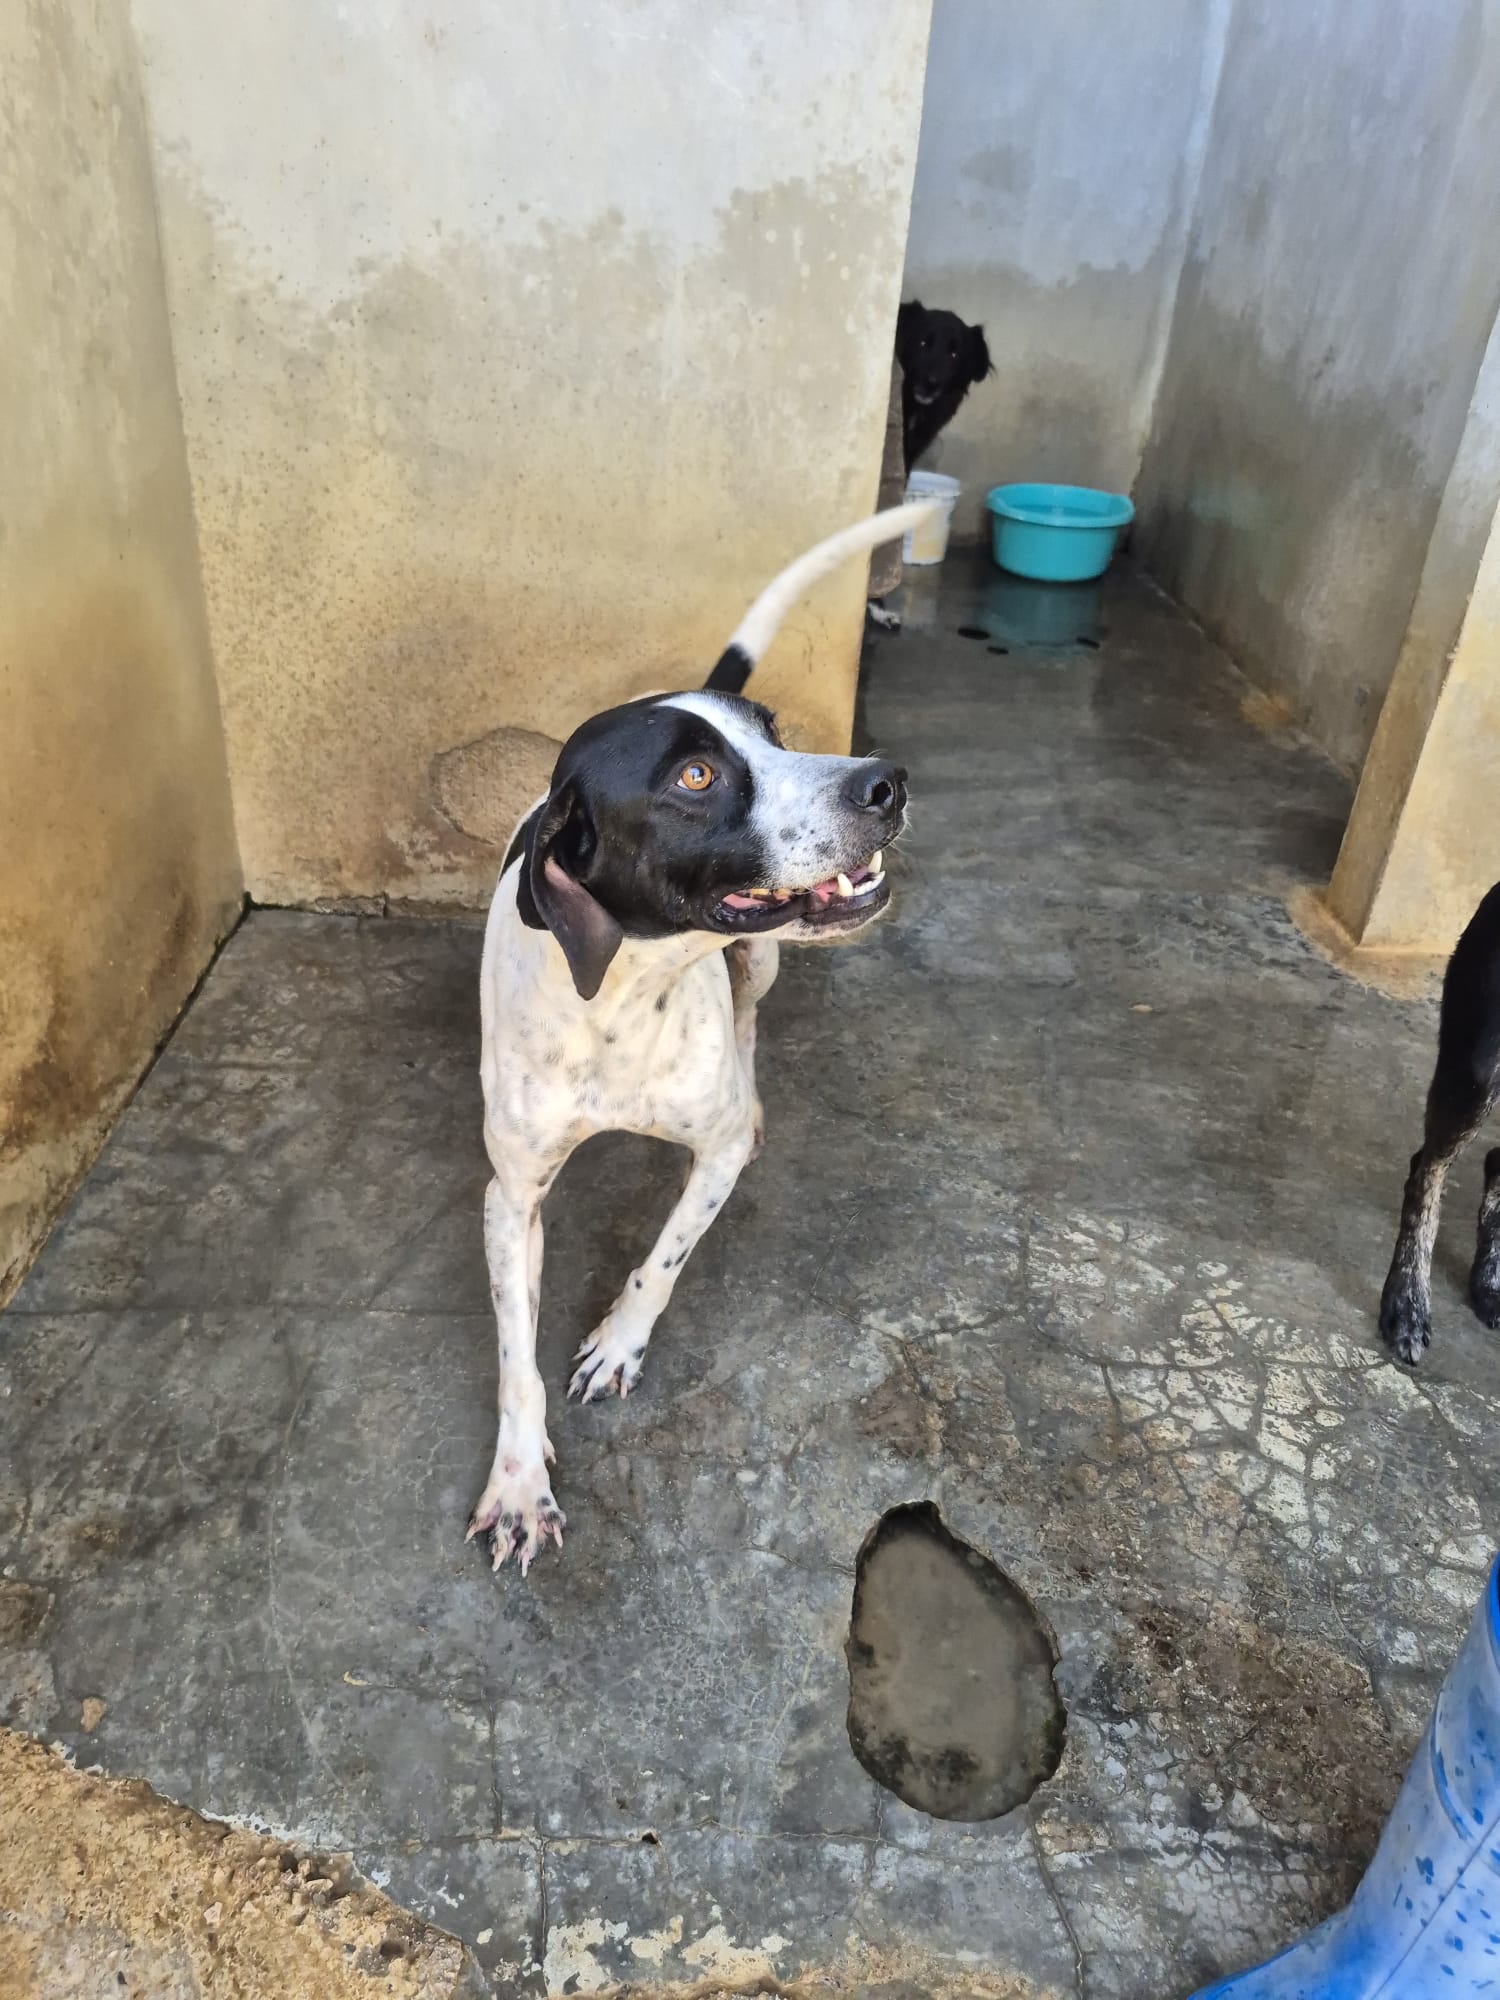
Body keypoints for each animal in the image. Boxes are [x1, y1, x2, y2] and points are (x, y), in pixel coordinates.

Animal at [467, 499, 940, 1573]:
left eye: (777, 737)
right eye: (695, 774)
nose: (887, 782)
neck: (619, 1004)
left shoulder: (713, 1151)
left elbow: (665, 1256)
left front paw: (617, 1342)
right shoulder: (509, 1199)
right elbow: (515, 1353)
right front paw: (518, 1481)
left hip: (764, 960)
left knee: (754, 1015)